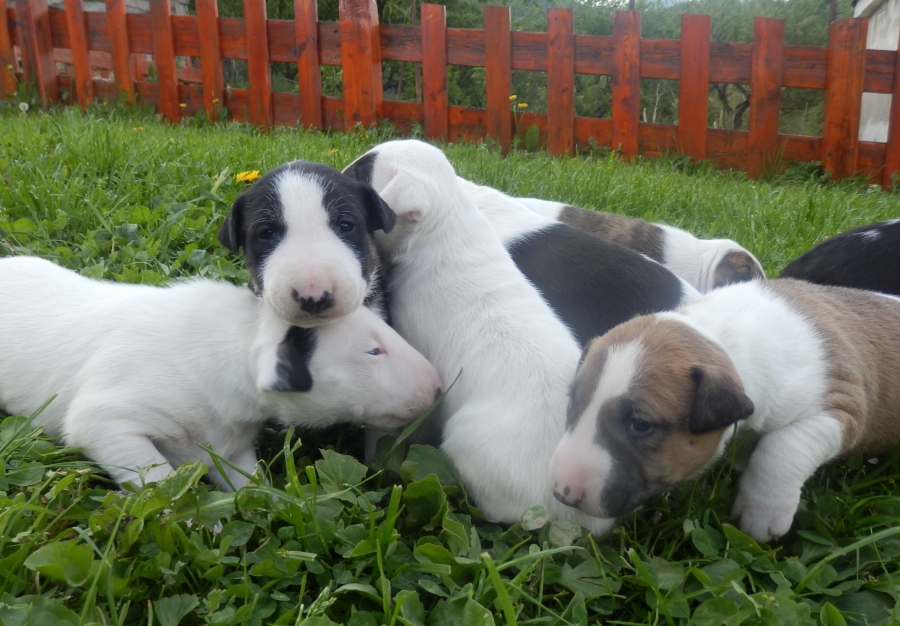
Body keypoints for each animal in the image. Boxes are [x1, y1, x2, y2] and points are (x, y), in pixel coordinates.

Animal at [0, 256, 442, 489]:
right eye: (373, 350)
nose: (439, 387)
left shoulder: (231, 446)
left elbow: (247, 481)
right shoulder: (109, 417)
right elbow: (155, 478)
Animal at [550, 277, 900, 541]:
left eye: (641, 425)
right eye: (573, 401)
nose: (562, 493)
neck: (719, 338)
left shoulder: (841, 407)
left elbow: (782, 448)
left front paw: (761, 513)